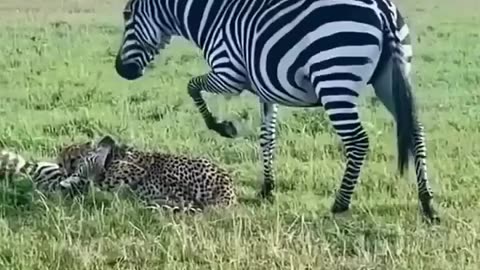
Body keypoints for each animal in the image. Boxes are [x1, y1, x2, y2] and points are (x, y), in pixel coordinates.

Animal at [112, 0, 438, 223]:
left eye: (127, 15)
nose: (120, 70)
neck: (210, 19)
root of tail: (382, 9)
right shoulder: (265, 90)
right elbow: (266, 137)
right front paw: (268, 188)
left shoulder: (228, 73)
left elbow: (191, 86)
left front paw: (222, 127)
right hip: (390, 79)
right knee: (416, 131)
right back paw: (427, 203)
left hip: (334, 79)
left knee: (358, 141)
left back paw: (340, 204)